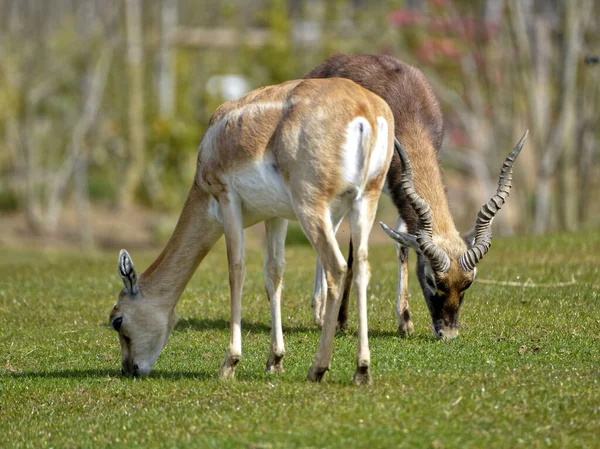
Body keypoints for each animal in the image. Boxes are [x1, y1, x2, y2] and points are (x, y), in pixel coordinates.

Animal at [110, 76, 396, 382]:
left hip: (312, 206)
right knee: (361, 268)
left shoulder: (227, 199)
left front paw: (230, 363)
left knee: (337, 267)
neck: (213, 143)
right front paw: (275, 360)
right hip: (365, 201)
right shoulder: (276, 215)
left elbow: (236, 270)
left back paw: (318, 368)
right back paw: (362, 370)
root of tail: (365, 109)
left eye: (117, 320)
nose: (129, 368)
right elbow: (274, 275)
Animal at [304, 53, 524, 340]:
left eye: (467, 283)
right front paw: (341, 322)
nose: (448, 334)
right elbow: (354, 249)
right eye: (432, 280)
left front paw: (405, 322)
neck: (405, 113)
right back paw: (321, 314)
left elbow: (402, 242)